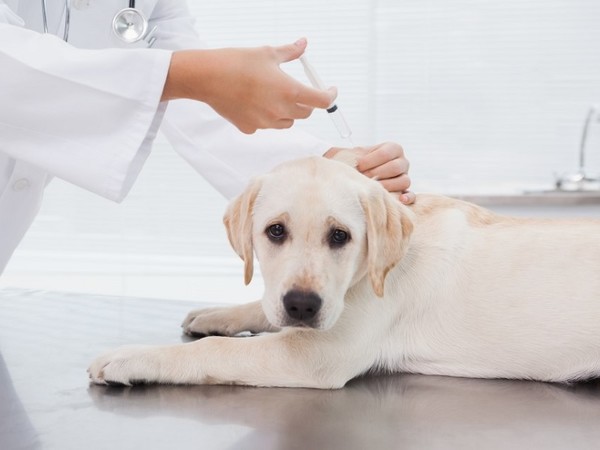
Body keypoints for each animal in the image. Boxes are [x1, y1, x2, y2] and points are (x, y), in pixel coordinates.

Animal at [88, 156, 600, 386]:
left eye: (340, 237)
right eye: (275, 231)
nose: (301, 306)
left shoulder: (318, 355)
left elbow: (215, 352)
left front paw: (131, 357)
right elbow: (260, 306)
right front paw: (217, 313)